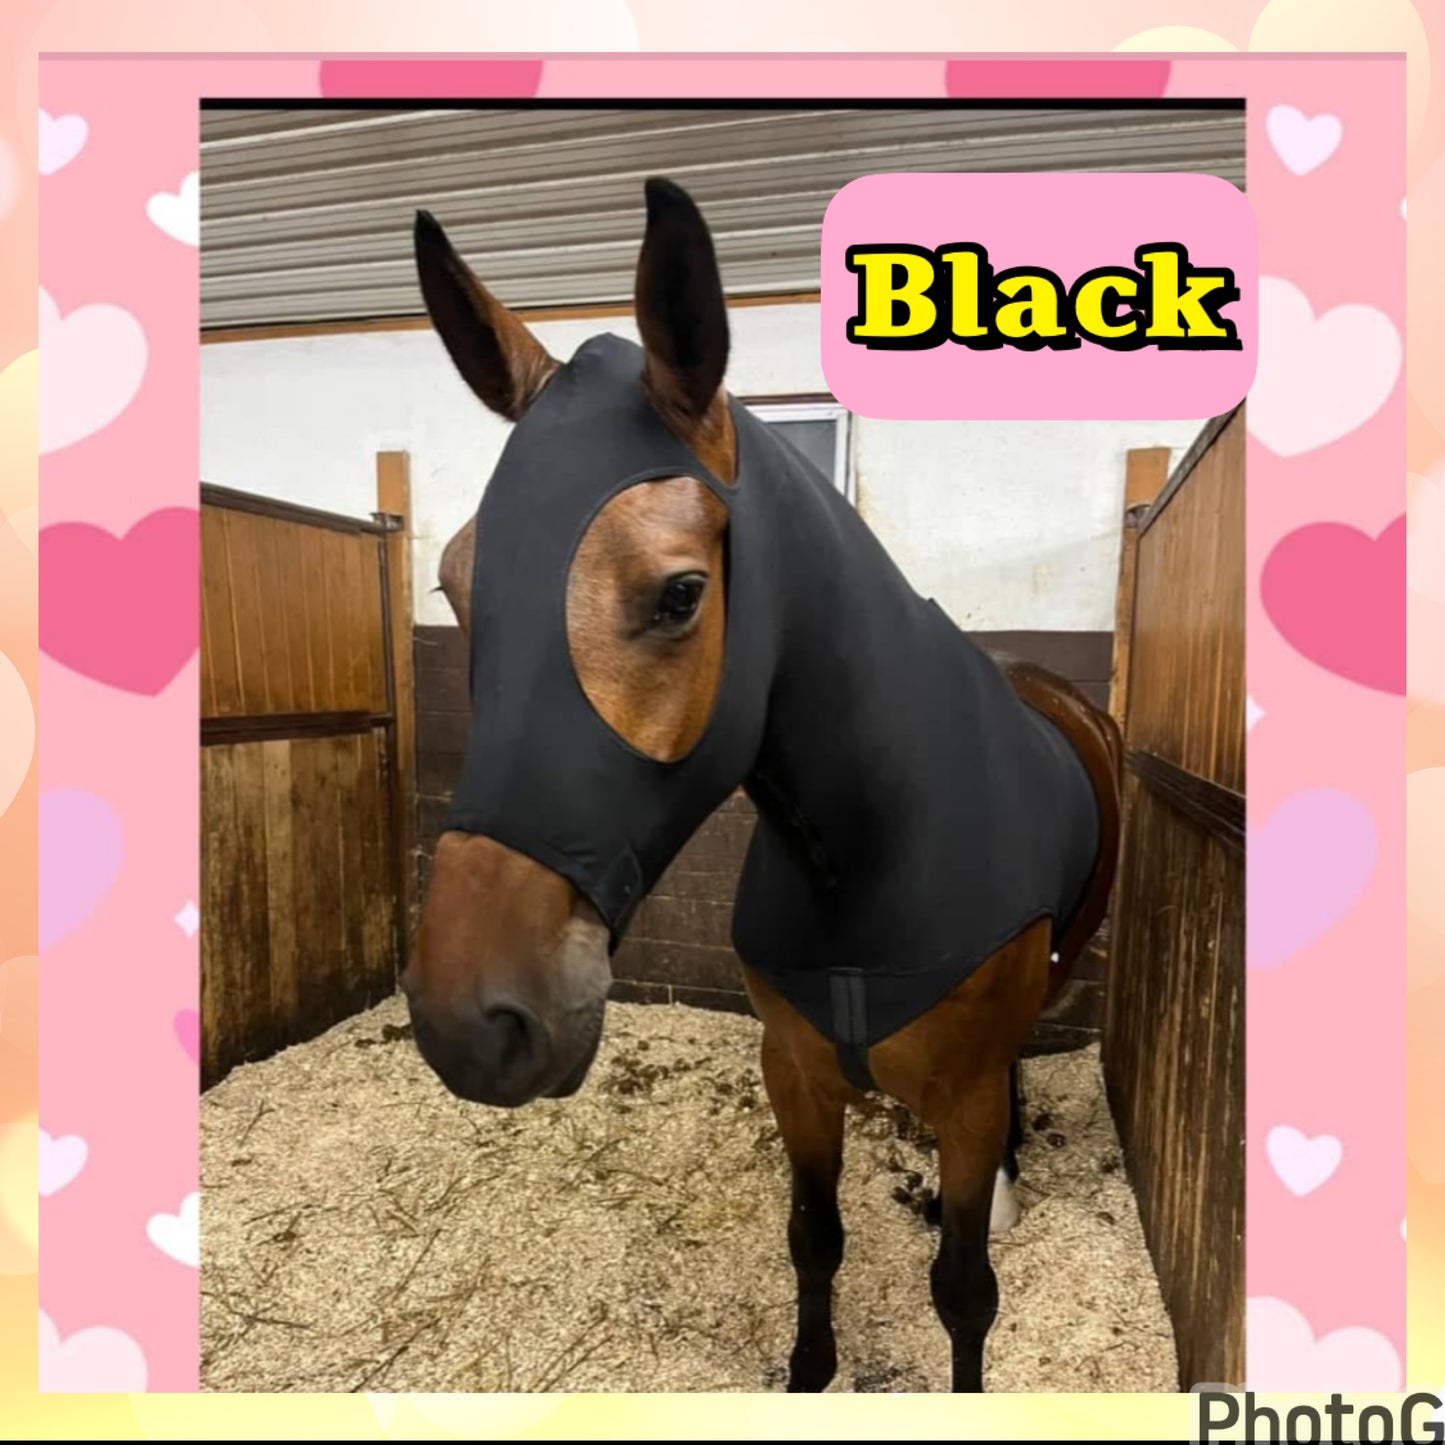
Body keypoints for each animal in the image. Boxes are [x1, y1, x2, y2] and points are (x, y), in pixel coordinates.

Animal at [401, 177, 1122, 1393]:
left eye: (679, 592)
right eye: (453, 584)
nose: (471, 1021)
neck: (864, 853)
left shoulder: (968, 1095)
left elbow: (962, 1288)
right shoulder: (796, 1072)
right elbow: (813, 1237)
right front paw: (807, 1369)